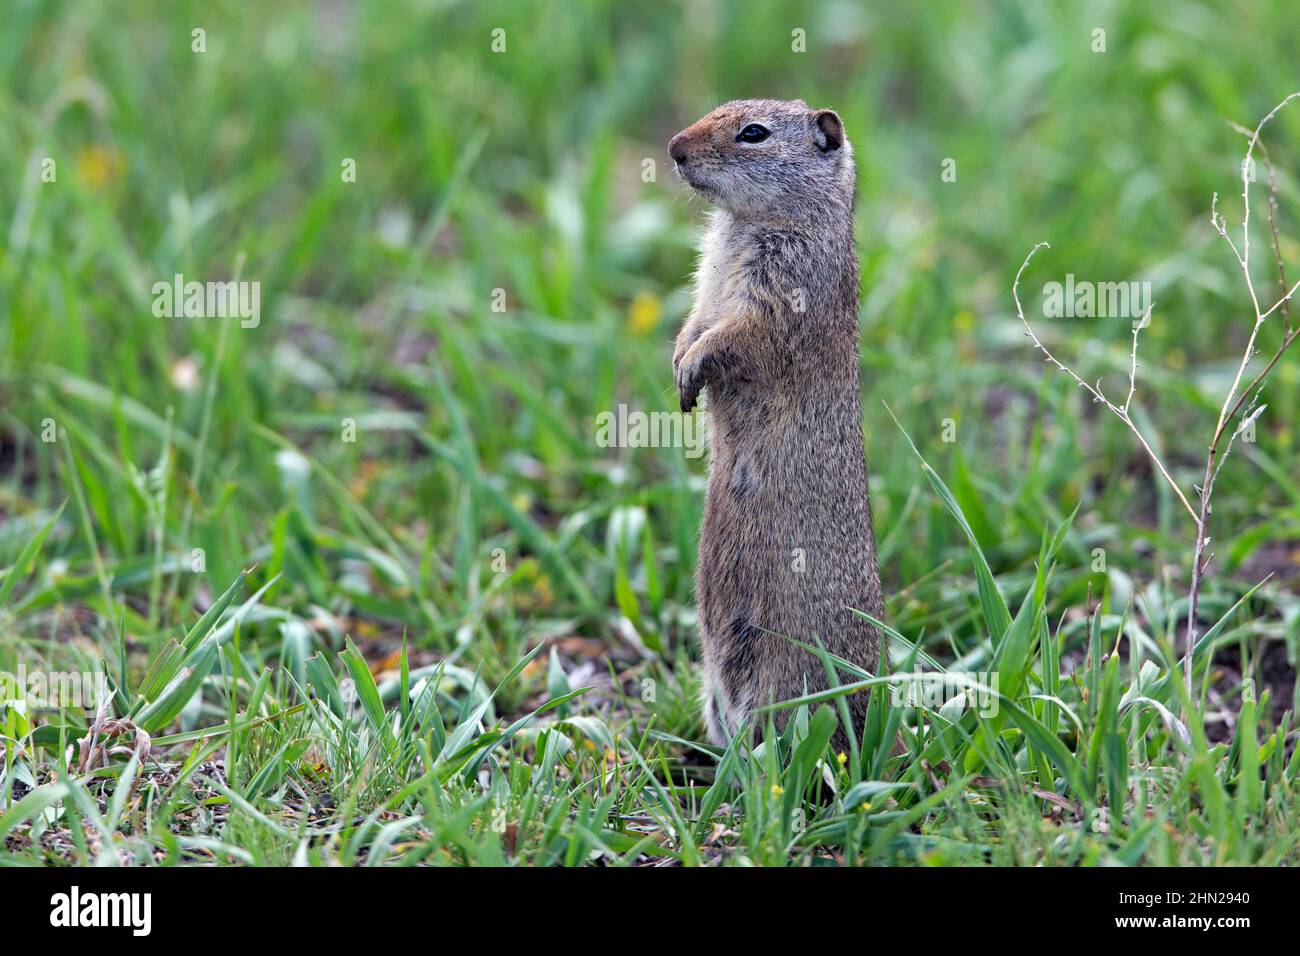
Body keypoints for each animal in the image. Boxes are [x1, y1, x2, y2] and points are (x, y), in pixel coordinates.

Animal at [670, 100, 883, 749]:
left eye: (753, 134)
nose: (673, 149)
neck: (742, 224)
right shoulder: (708, 284)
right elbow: (696, 320)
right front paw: (679, 363)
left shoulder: (780, 294)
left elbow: (736, 336)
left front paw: (693, 366)